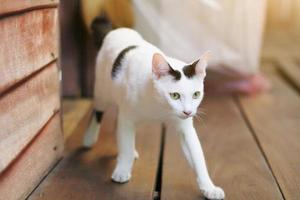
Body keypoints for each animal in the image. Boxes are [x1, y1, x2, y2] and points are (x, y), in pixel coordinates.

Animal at [83, 28, 224, 200]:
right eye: (174, 95)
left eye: (196, 94)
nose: (188, 111)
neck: (159, 107)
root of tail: (119, 29)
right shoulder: (128, 118)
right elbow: (126, 142)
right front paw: (122, 169)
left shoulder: (185, 129)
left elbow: (198, 158)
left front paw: (209, 187)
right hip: (103, 92)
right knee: (98, 111)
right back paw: (90, 137)